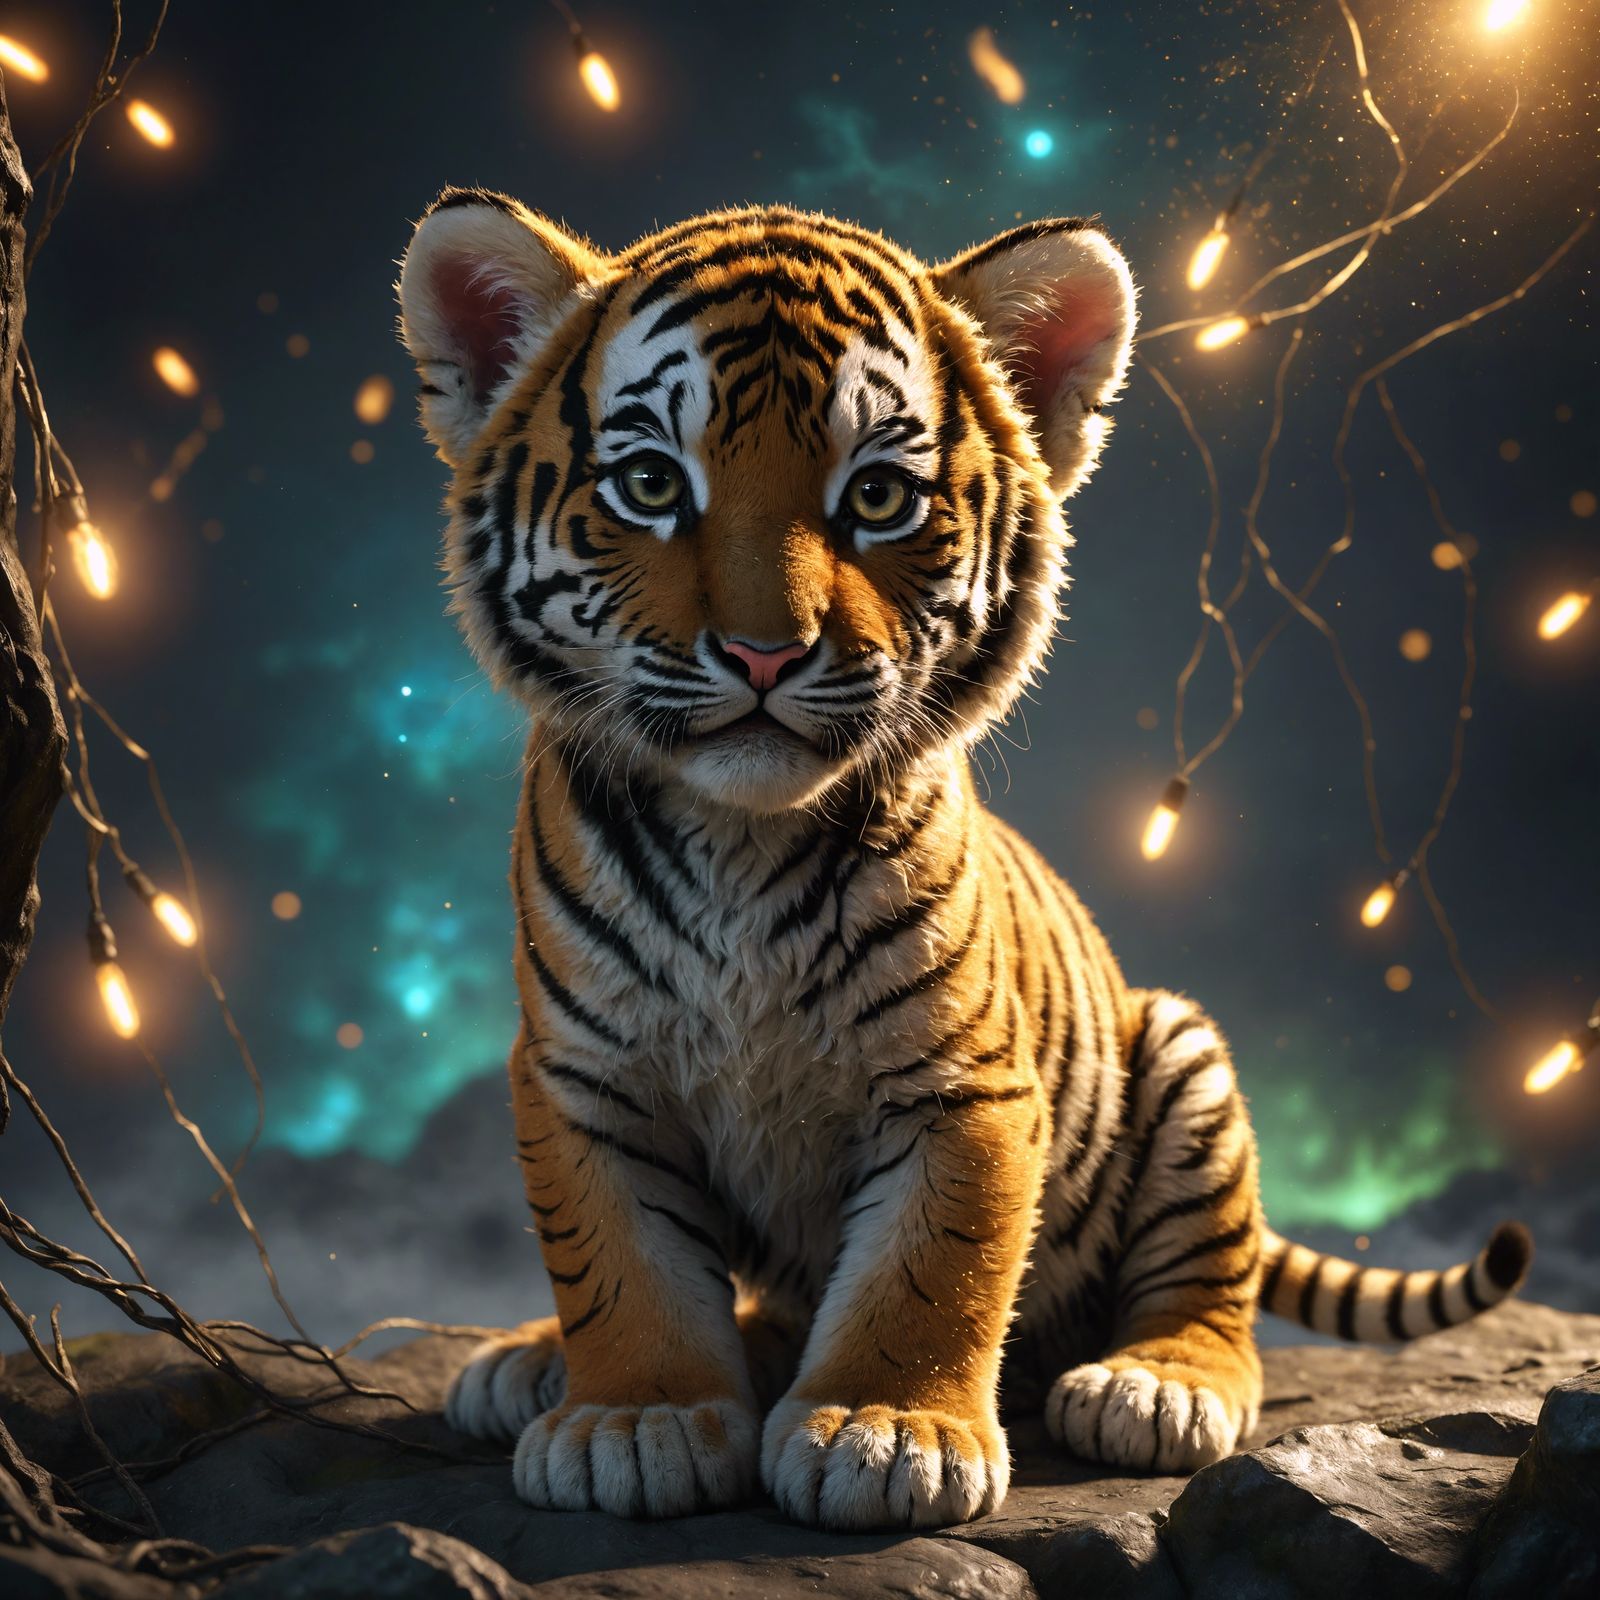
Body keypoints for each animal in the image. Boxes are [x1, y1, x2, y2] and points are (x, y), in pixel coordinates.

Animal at [394, 189, 1532, 1531]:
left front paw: (886, 1431)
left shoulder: (962, 1080)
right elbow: (618, 1263)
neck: (741, 837)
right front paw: (638, 1416)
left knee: (1213, 1290)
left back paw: (1155, 1385)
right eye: (648, 483)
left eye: (880, 496)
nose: (765, 653)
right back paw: (529, 1360)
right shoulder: (584, 1073)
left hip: (1183, 1053)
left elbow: (933, 1264)